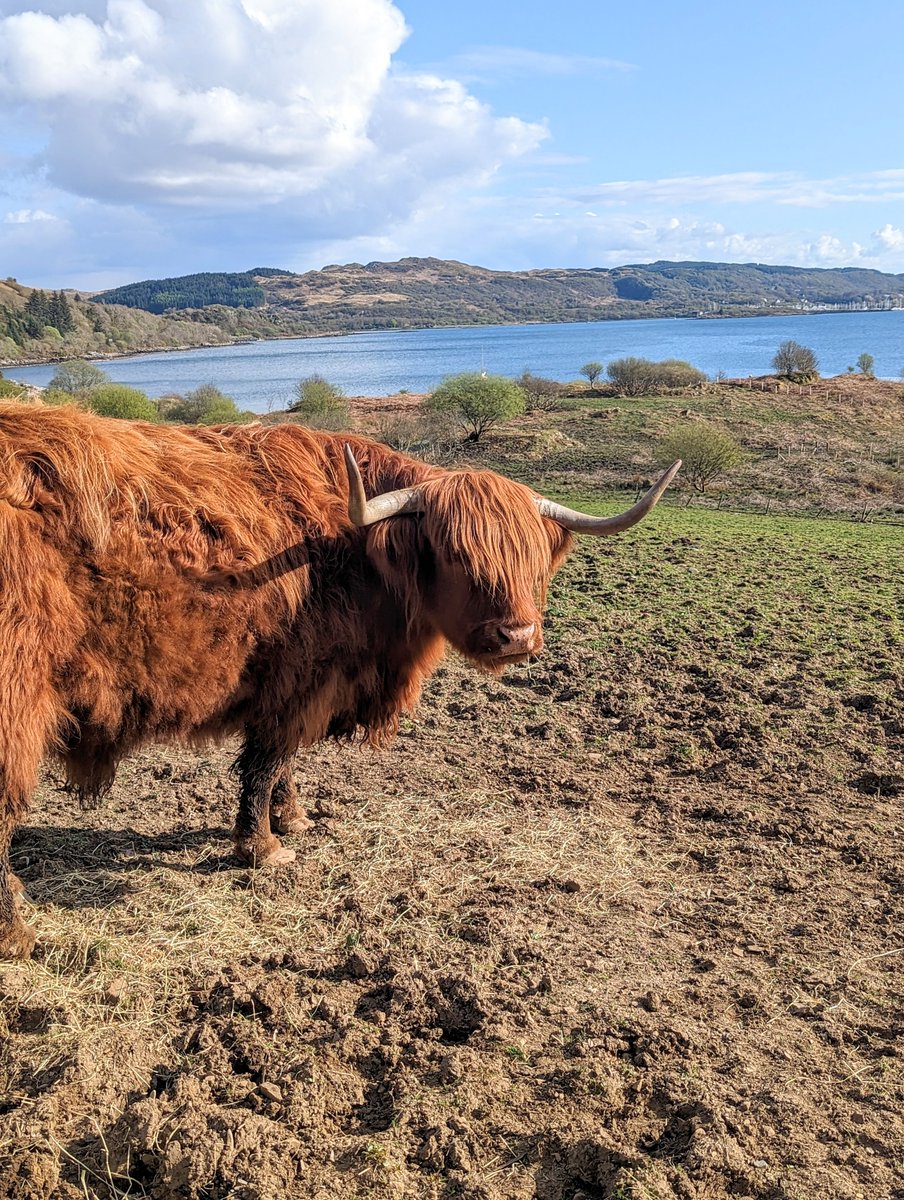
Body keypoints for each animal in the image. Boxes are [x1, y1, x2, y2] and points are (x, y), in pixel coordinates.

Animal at [0, 403, 677, 955]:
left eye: (530, 555)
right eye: (454, 553)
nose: (517, 636)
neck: (356, 552)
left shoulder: (291, 686)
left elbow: (281, 763)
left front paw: (292, 820)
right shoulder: (298, 676)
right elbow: (267, 760)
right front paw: (263, 848)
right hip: (17, 702)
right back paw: (19, 935)